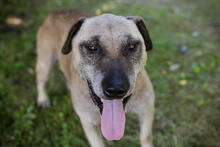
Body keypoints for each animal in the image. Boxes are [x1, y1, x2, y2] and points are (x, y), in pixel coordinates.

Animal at [35, 9, 155, 146]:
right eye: (92, 47)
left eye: (132, 46)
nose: (116, 89)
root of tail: (54, 12)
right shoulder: (88, 123)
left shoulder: (147, 110)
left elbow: (146, 137)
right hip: (45, 64)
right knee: (41, 81)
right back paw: (42, 99)